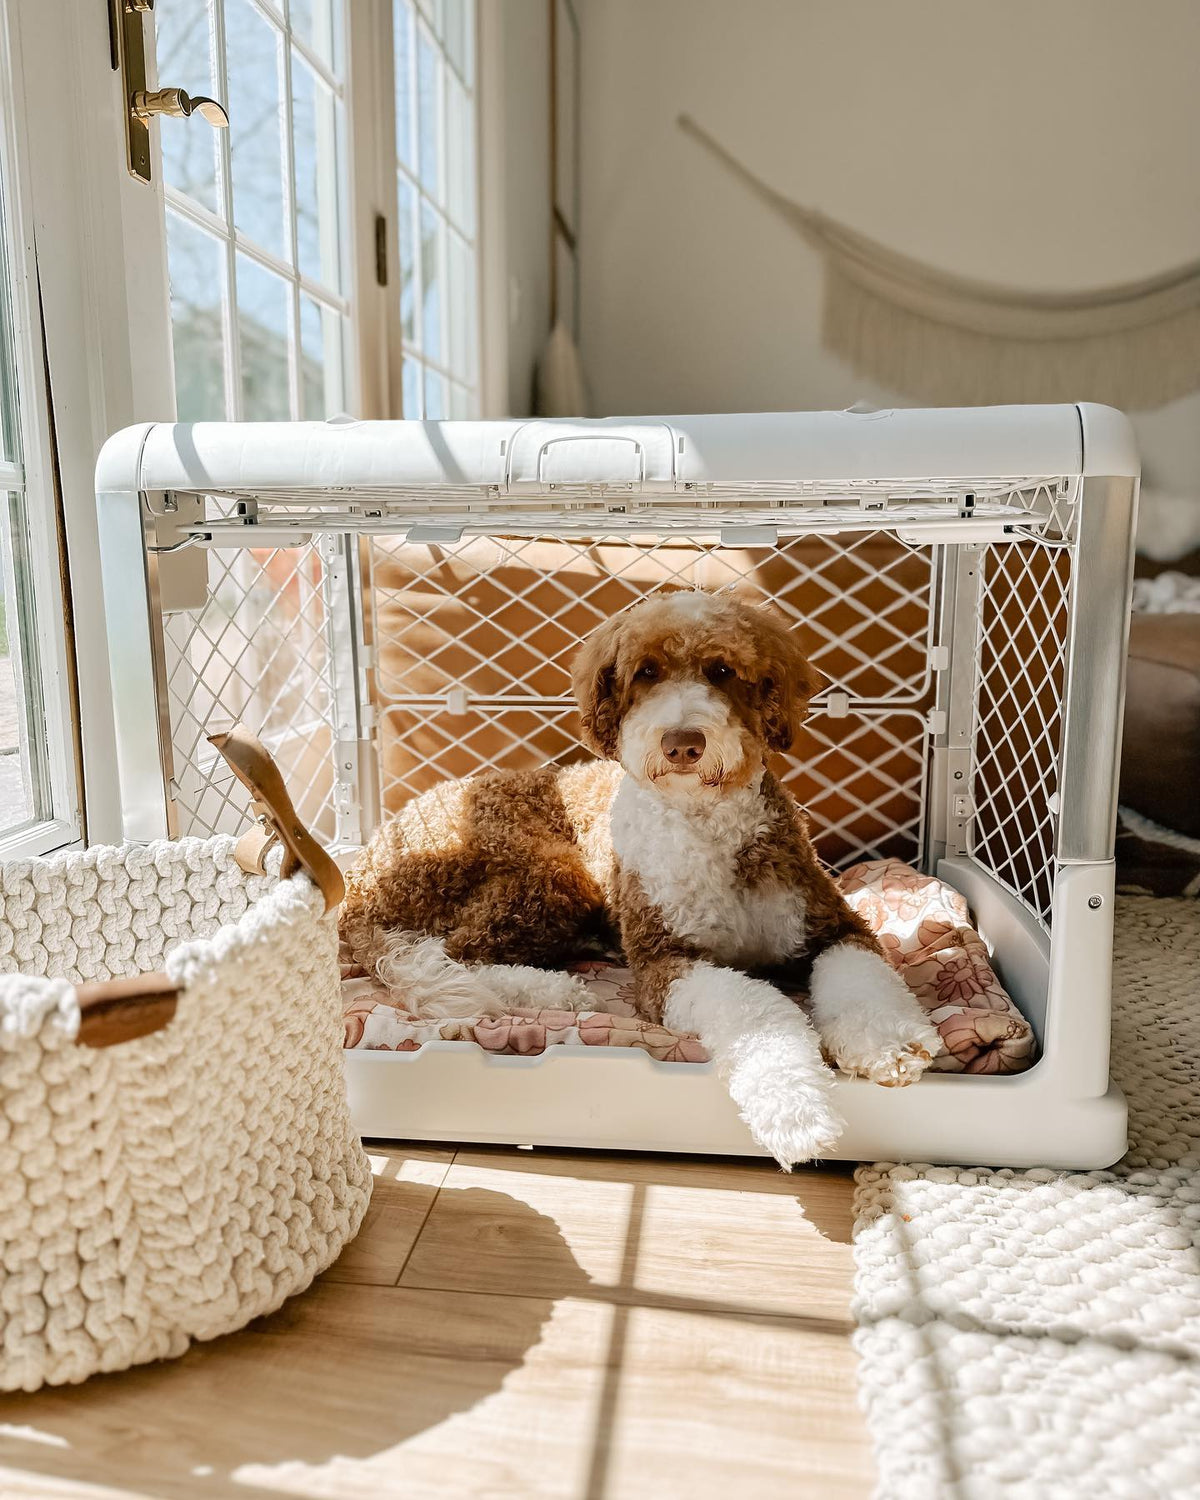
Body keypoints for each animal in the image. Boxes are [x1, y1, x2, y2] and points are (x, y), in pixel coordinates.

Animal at [340, 590, 940, 1164]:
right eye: (646, 672)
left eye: (722, 670)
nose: (682, 742)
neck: (705, 821)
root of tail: (362, 875)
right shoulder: (663, 961)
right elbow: (755, 1009)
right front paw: (795, 1109)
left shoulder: (834, 926)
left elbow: (864, 979)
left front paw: (887, 1047)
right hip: (548, 872)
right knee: (460, 953)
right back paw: (555, 990)